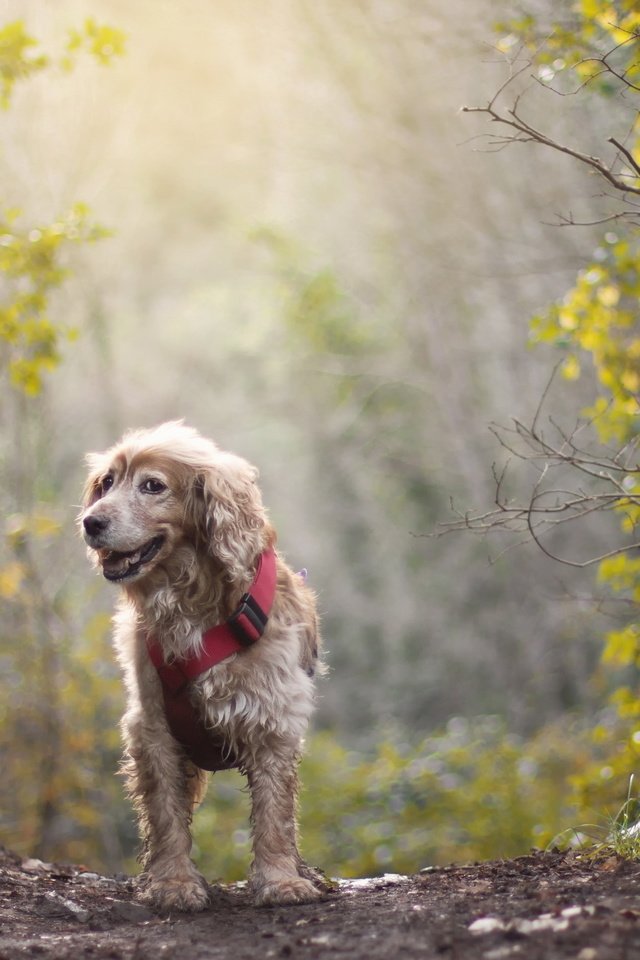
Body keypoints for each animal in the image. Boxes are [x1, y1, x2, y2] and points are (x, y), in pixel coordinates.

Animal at [80, 420, 328, 908]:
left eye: (153, 486)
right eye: (108, 482)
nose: (90, 521)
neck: (189, 601)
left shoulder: (272, 717)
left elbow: (274, 812)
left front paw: (280, 880)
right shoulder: (153, 725)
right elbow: (165, 815)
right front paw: (173, 883)